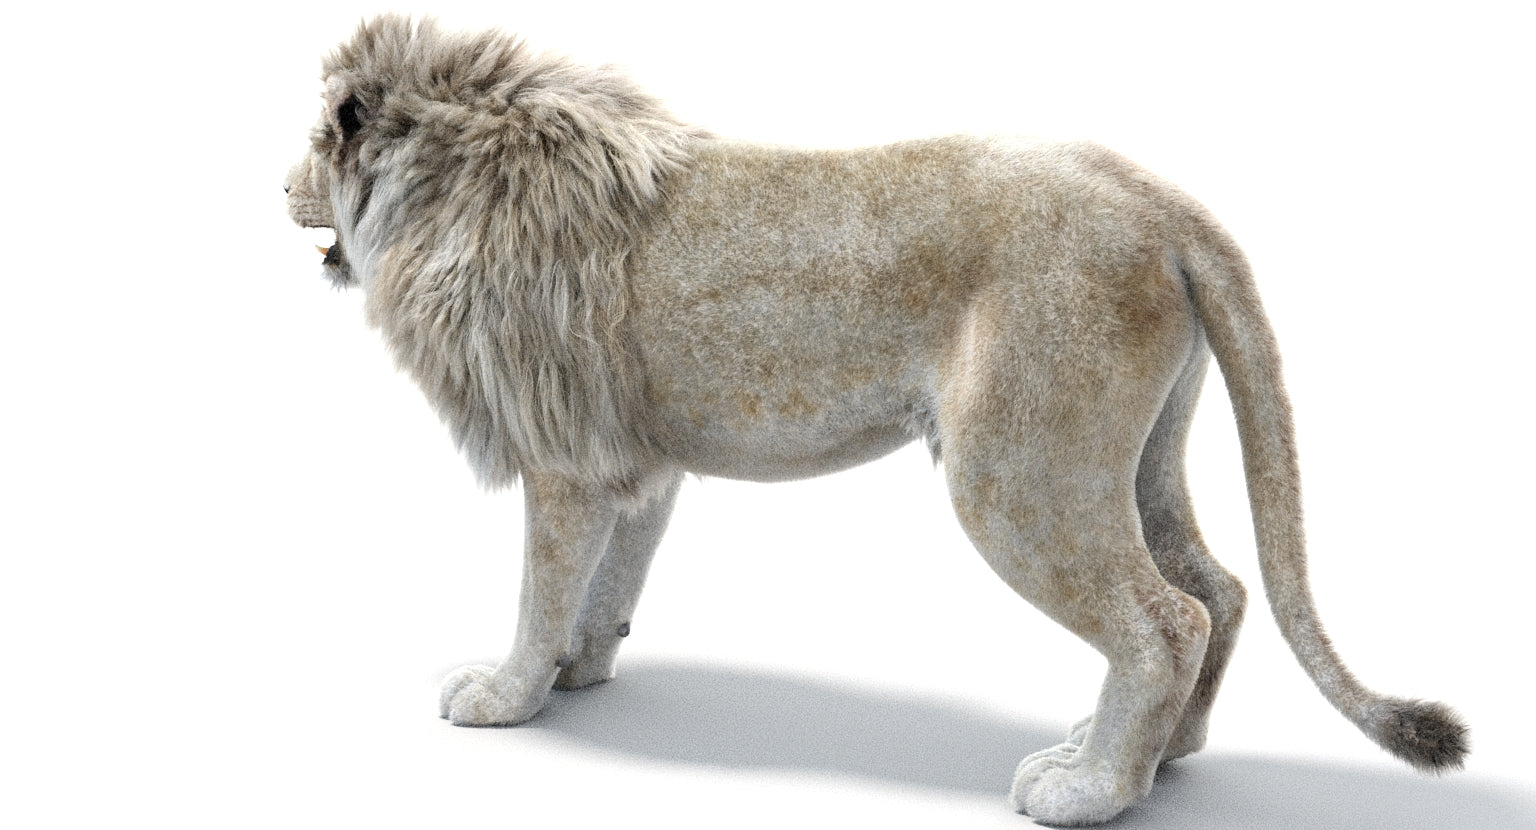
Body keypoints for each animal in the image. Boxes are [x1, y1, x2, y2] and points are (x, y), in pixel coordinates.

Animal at [286, 16, 1468, 825]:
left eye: (311, 140)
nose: (280, 188)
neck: (454, 188)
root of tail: (1163, 201)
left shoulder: (563, 455)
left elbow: (540, 588)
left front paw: (506, 693)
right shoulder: (635, 461)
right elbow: (608, 584)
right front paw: (583, 670)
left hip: (1015, 471)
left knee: (1163, 617)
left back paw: (1091, 786)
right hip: (1129, 458)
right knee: (1215, 589)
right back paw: (1160, 754)